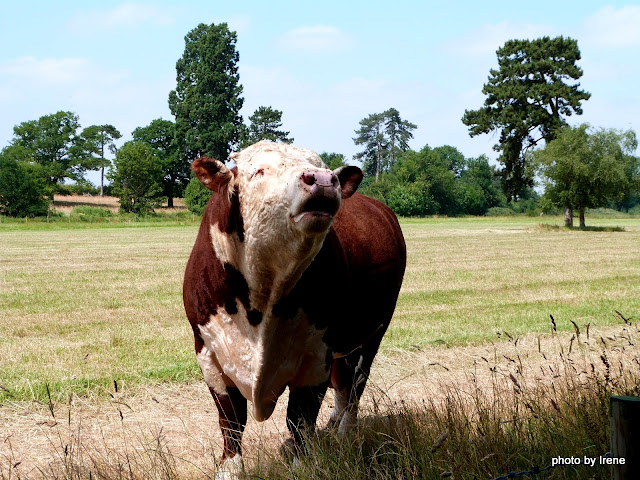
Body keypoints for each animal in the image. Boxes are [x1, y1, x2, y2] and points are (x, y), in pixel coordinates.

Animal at [183, 141, 406, 478]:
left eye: (324, 167)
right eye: (259, 171)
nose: (324, 180)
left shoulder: (316, 356)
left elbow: (300, 418)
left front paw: (302, 461)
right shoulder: (208, 352)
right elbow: (231, 419)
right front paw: (230, 467)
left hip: (372, 334)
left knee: (355, 384)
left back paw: (345, 432)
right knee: (343, 383)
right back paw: (334, 423)